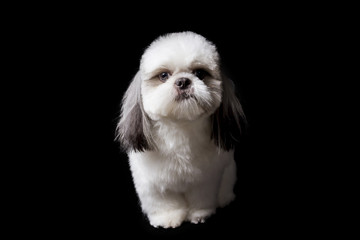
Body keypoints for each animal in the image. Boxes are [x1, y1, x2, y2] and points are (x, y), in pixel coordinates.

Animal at [116, 31, 246, 229]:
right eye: (163, 75)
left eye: (199, 73)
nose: (183, 81)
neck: (181, 127)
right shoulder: (153, 183)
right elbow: (164, 202)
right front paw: (167, 218)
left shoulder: (204, 179)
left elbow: (201, 198)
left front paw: (199, 214)